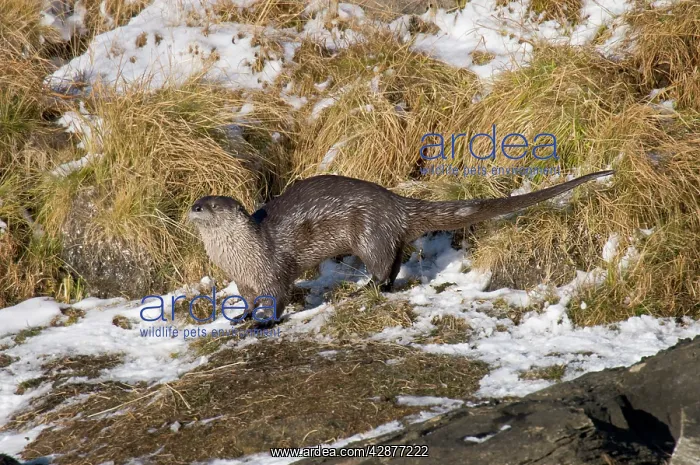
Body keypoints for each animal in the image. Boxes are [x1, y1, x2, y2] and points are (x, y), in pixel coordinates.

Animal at [188, 171, 613, 323]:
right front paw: (241, 317)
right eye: (198, 200)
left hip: (368, 232)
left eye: (213, 206)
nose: (193, 208)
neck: (243, 256)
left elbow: (277, 297)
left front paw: (265, 321)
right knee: (396, 260)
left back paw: (366, 289)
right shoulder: (245, 281)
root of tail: (397, 204)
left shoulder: (272, 270)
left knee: (384, 264)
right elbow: (248, 300)